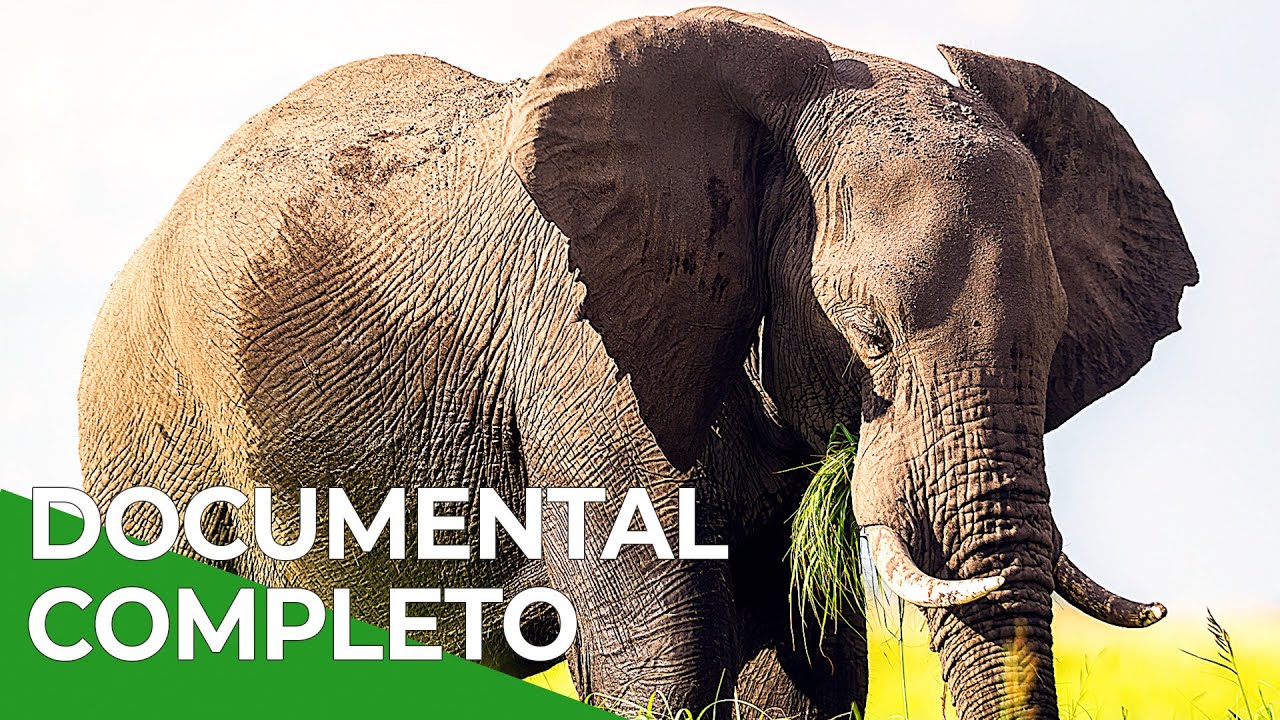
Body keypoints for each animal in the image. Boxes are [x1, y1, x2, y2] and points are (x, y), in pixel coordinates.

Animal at [78, 7, 1197, 719]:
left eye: (1053, 348)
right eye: (867, 333)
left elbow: (806, 672)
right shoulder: (582, 350)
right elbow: (665, 660)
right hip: (155, 439)